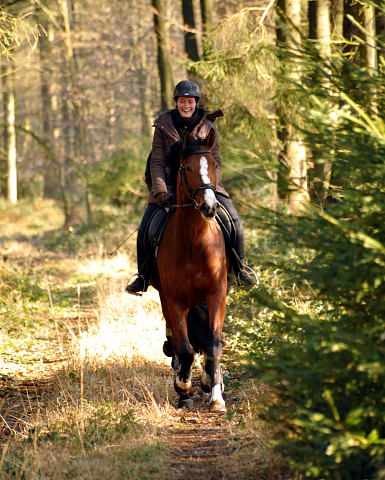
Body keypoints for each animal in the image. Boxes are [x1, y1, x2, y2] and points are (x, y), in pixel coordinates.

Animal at [149, 128, 228, 412]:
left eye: (214, 165)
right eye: (187, 167)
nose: (209, 207)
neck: (194, 241)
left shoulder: (216, 295)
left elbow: (213, 345)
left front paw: (216, 394)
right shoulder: (173, 300)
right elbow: (184, 349)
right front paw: (183, 388)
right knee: (176, 341)